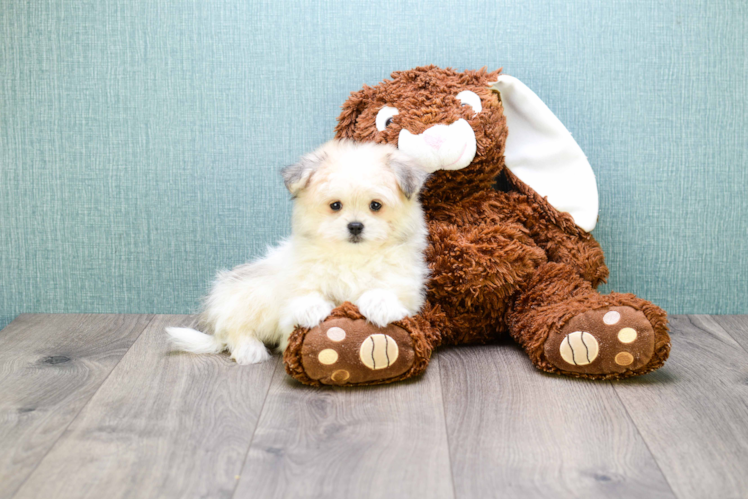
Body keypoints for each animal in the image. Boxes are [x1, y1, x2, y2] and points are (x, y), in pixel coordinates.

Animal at [166, 139, 430, 366]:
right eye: (335, 205)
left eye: (376, 205)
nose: (355, 226)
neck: (352, 258)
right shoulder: (298, 281)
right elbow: (305, 293)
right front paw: (311, 310)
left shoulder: (405, 285)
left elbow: (385, 289)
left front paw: (379, 305)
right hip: (249, 294)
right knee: (233, 328)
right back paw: (249, 350)